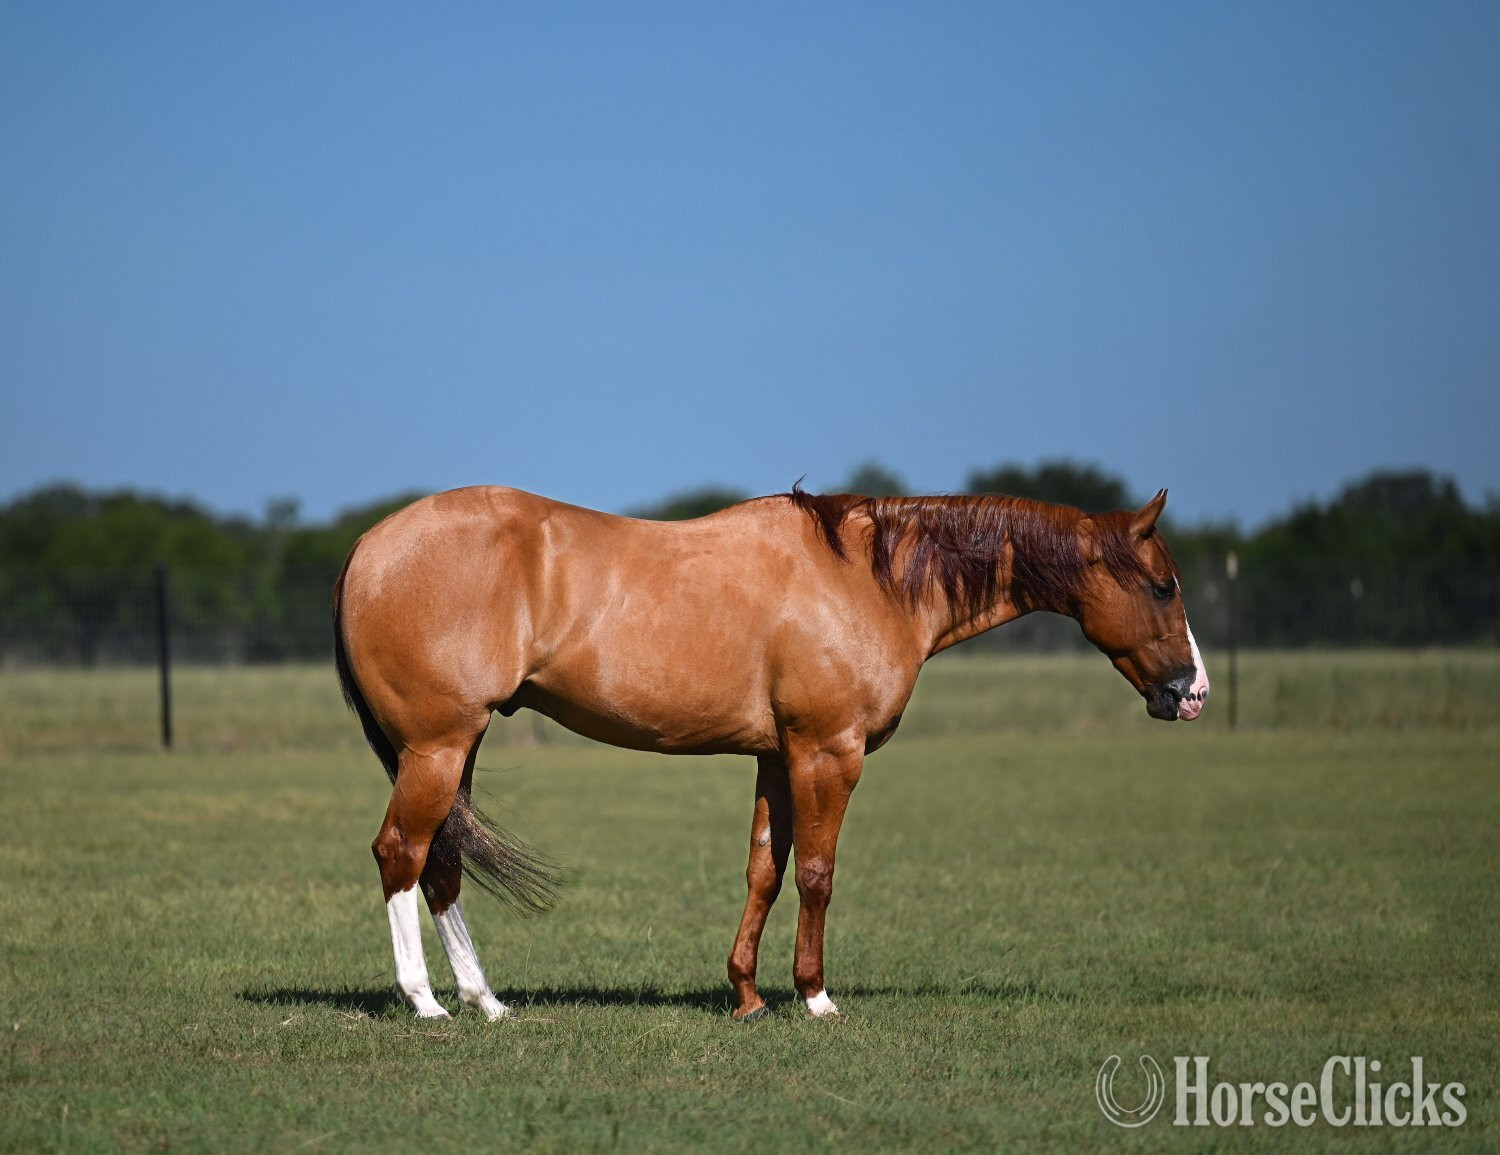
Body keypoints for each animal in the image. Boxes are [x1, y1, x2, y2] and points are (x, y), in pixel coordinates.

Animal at [332, 484, 1208, 1022]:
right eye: (1164, 584)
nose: (1191, 691)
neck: (870, 579)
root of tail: (370, 544)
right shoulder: (828, 750)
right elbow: (818, 872)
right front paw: (815, 996)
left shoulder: (776, 757)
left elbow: (766, 868)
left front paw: (748, 995)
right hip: (438, 745)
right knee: (400, 851)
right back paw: (426, 1000)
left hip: (456, 746)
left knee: (441, 862)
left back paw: (486, 999)